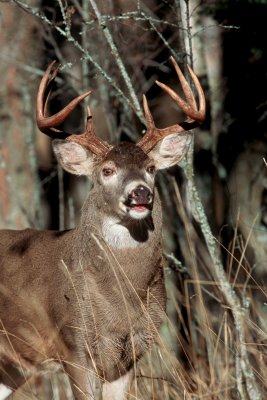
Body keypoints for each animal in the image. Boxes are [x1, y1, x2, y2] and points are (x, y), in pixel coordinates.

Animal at [0, 57, 206, 400]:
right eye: (107, 171)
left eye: (151, 168)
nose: (140, 193)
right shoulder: (74, 346)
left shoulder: (130, 355)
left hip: (12, 368)